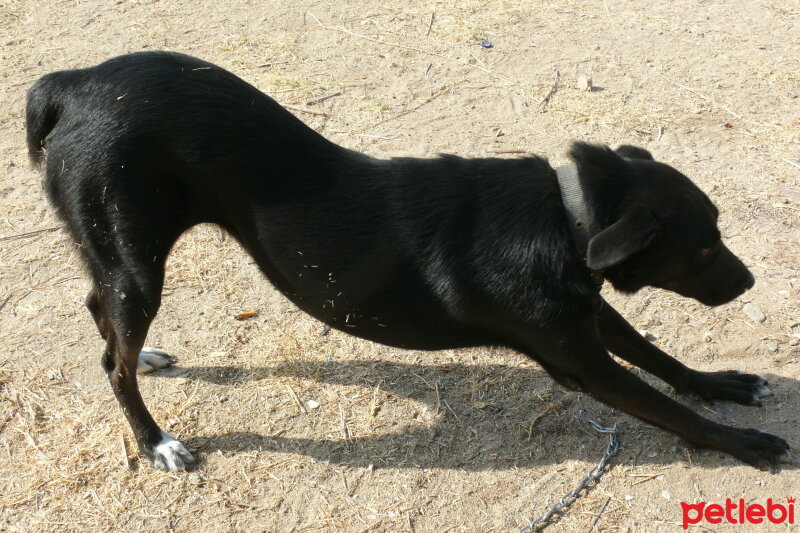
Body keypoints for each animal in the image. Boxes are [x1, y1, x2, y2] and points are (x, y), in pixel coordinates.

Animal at [28, 52, 792, 472]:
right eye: (705, 245)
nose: (750, 279)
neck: (568, 213)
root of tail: (74, 83)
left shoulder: (583, 310)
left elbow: (658, 357)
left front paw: (721, 382)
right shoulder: (577, 356)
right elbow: (668, 408)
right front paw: (745, 442)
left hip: (119, 255)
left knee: (101, 310)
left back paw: (149, 355)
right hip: (135, 256)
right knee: (112, 359)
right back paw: (155, 438)